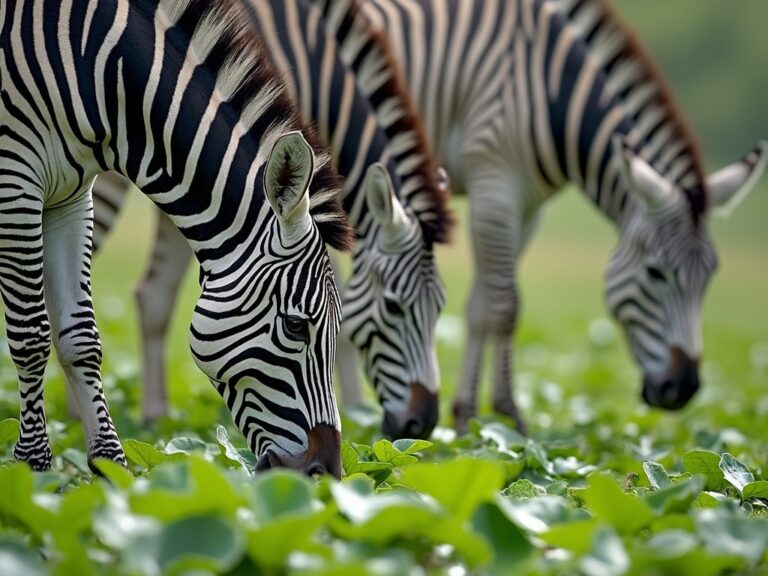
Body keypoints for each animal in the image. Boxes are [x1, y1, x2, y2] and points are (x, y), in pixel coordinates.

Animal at [0, 0, 354, 474]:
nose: (325, 474)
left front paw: (110, 468)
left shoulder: (70, 198)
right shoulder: (15, 179)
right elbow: (32, 335)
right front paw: (33, 468)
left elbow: (81, 337)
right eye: (296, 326)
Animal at [87, 0, 452, 438]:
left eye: (440, 308)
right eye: (395, 308)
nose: (422, 425)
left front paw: (157, 422)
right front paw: (352, 410)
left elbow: (156, 295)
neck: (316, 58)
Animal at [308, 0, 764, 432]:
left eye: (709, 278)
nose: (683, 389)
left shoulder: (528, 206)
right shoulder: (494, 186)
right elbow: (505, 306)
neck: (554, 93)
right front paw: (509, 413)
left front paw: (468, 418)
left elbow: (481, 308)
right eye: (656, 273)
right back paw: (353, 413)